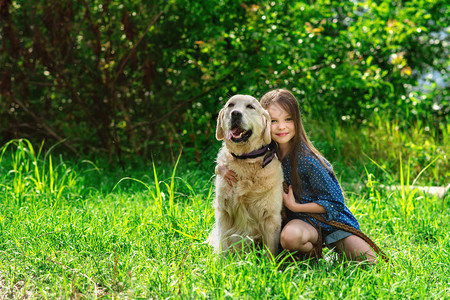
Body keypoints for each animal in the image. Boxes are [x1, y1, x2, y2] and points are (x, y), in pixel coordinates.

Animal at [209, 95, 284, 256]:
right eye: (230, 105)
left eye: (250, 107)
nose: (235, 114)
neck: (246, 160)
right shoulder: (223, 212)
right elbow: (223, 247)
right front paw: (221, 263)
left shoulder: (271, 218)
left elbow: (270, 252)